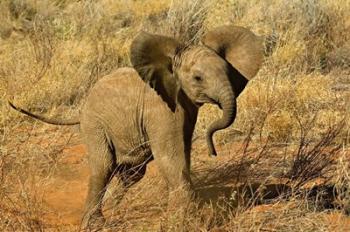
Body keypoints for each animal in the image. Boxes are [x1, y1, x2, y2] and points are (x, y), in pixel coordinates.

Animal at [8, 24, 262, 228]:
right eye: (198, 78)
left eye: (229, 72)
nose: (213, 152)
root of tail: (80, 110)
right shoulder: (161, 109)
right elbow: (170, 157)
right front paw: (184, 222)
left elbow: (182, 152)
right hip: (95, 125)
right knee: (103, 166)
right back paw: (95, 224)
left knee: (132, 173)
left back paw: (114, 207)